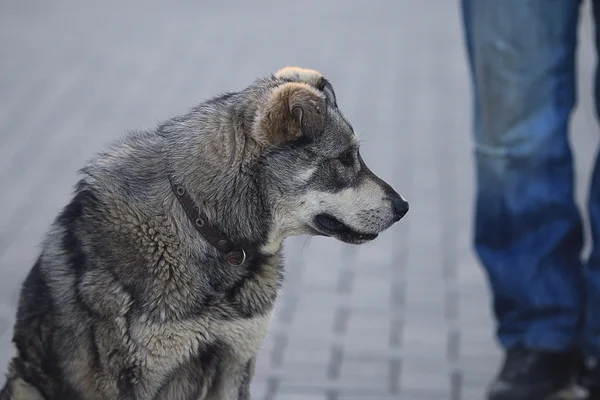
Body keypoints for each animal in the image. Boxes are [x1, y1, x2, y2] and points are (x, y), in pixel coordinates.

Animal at [0, 67, 408, 398]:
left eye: (355, 157)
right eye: (343, 160)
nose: (403, 207)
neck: (209, 229)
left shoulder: (235, 361)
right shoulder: (137, 379)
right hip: (24, 383)